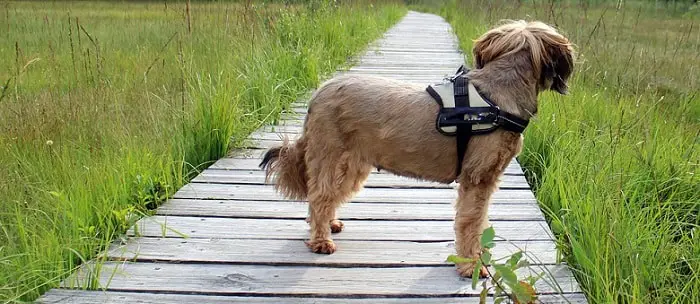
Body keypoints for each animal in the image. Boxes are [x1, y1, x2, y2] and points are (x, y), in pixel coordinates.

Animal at [260, 20, 572, 278]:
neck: (494, 98)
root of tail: (318, 94)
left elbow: (480, 221)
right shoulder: (477, 179)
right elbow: (470, 222)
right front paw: (471, 265)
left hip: (352, 164)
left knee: (329, 194)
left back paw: (330, 224)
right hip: (330, 155)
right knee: (319, 196)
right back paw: (321, 240)